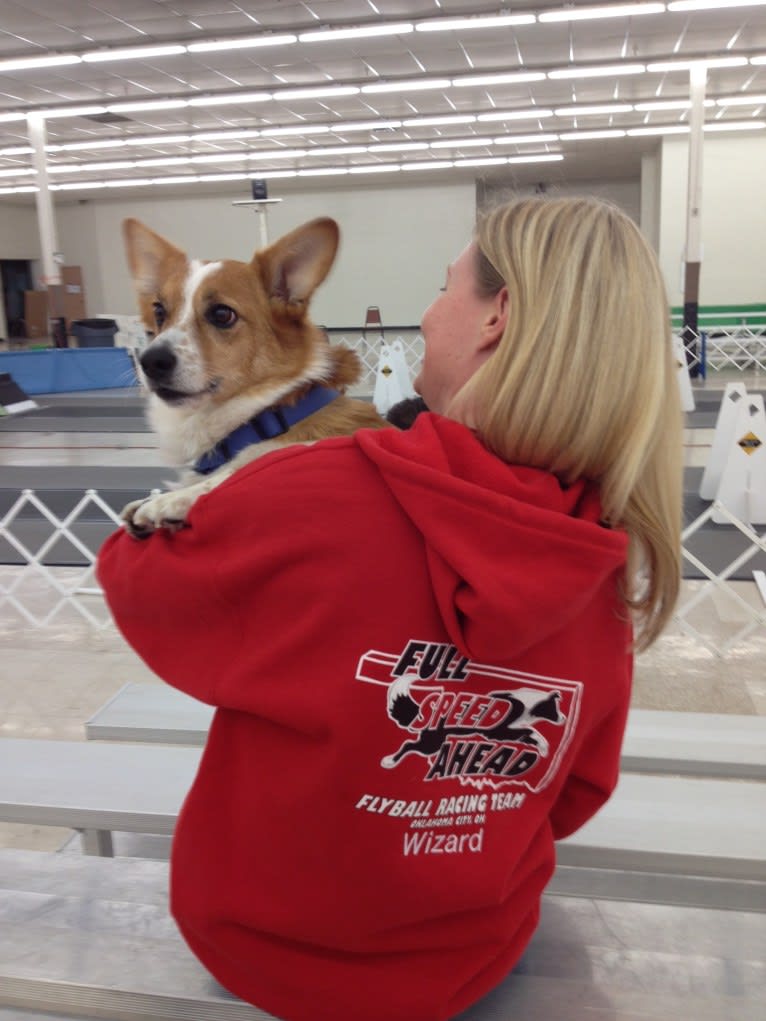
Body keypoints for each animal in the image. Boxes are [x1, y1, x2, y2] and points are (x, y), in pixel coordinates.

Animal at [120, 214, 390, 535]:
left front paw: (173, 499)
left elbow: (241, 470)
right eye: (159, 312)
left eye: (222, 314)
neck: (266, 417)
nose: (150, 361)